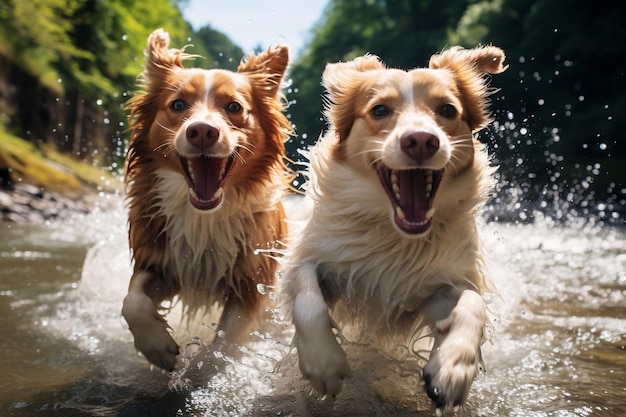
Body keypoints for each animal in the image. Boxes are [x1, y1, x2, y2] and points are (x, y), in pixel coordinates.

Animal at [120, 28, 292, 370]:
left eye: (234, 107)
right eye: (177, 104)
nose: (201, 131)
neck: (204, 217)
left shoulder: (250, 285)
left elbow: (223, 346)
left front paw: (203, 369)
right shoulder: (161, 262)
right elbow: (132, 301)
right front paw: (156, 346)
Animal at [280, 45, 504, 410]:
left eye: (447, 109)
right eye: (380, 109)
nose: (421, 141)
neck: (394, 236)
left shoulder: (437, 285)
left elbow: (472, 304)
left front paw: (453, 367)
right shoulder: (312, 256)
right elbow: (307, 297)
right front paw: (323, 362)